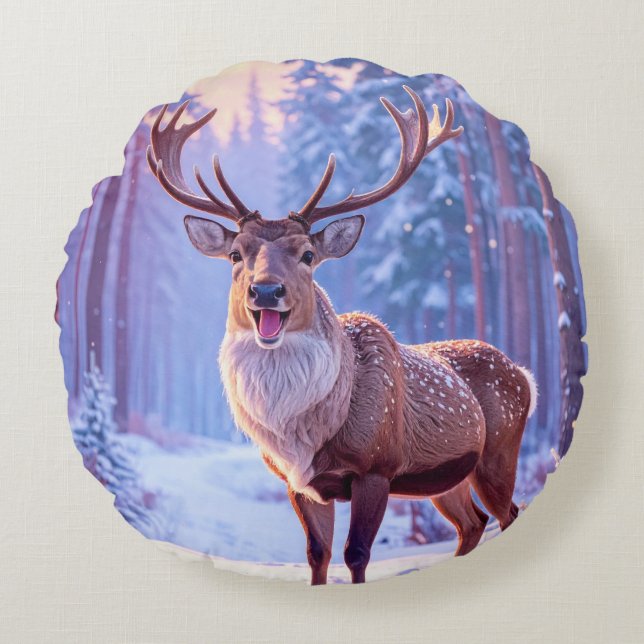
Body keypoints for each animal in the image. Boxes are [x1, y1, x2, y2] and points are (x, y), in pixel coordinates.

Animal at [147, 86, 537, 584]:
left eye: (308, 254)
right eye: (235, 253)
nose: (266, 290)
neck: (302, 437)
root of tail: (525, 375)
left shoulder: (377, 467)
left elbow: (356, 554)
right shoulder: (299, 483)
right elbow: (318, 553)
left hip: (499, 452)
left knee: (509, 513)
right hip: (445, 478)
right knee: (473, 523)